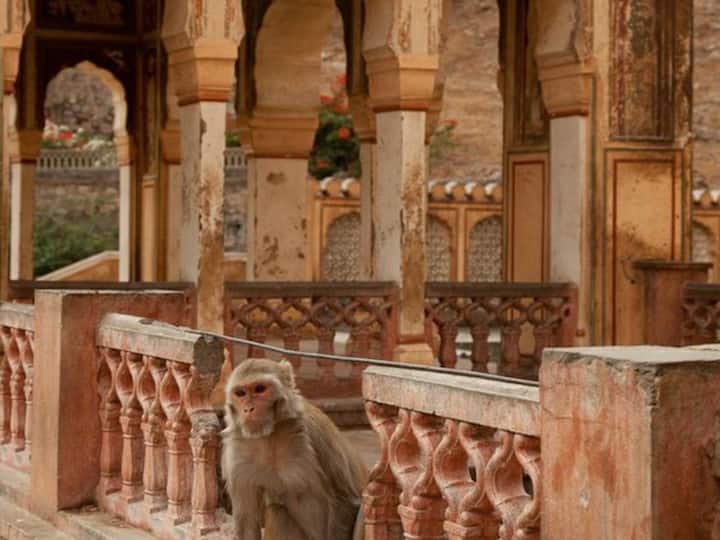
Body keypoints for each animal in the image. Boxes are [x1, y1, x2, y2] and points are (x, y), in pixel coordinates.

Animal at [221, 358, 368, 540]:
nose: (248, 409)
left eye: (259, 389)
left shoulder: (314, 432)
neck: (270, 437)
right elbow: (247, 524)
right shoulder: (235, 453)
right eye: (240, 393)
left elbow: (344, 500)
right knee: (278, 513)